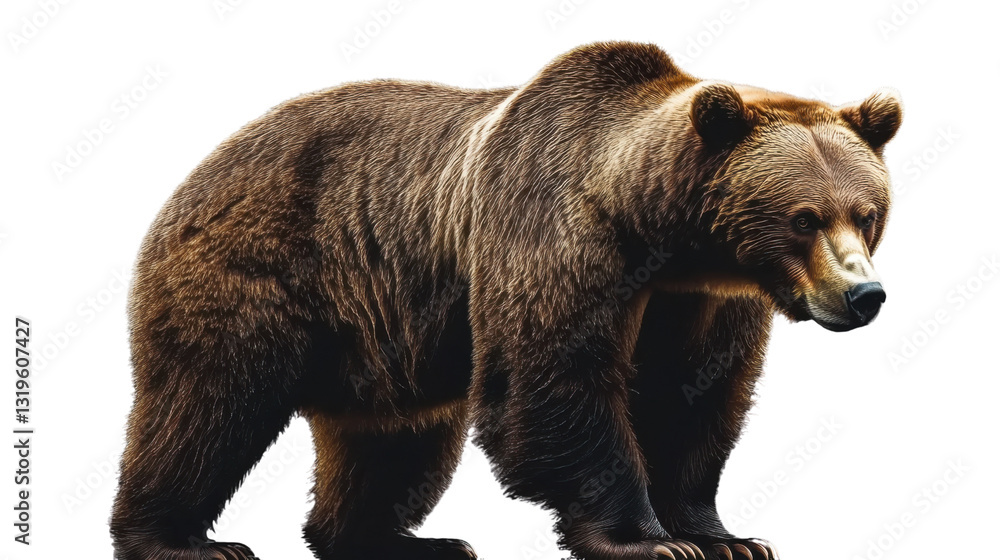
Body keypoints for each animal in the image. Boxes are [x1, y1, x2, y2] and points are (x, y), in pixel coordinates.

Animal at [111, 41, 901, 560]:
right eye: (803, 217)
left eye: (866, 212)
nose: (863, 293)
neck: (658, 234)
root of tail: (199, 168)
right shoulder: (555, 235)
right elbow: (555, 383)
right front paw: (643, 540)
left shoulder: (703, 301)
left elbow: (695, 400)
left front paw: (724, 536)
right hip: (258, 270)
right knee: (208, 405)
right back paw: (179, 542)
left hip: (381, 332)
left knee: (395, 438)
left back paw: (399, 542)